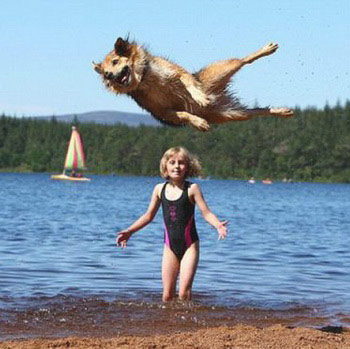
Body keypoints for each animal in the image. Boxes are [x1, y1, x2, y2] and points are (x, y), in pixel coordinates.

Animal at [93, 37, 292, 130]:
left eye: (115, 61)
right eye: (105, 74)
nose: (109, 75)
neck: (144, 79)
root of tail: (218, 95)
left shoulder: (177, 73)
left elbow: (188, 83)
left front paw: (199, 96)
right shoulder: (163, 111)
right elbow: (183, 114)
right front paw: (198, 122)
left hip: (224, 68)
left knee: (244, 60)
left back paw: (266, 50)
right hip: (232, 115)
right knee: (257, 111)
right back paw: (280, 112)